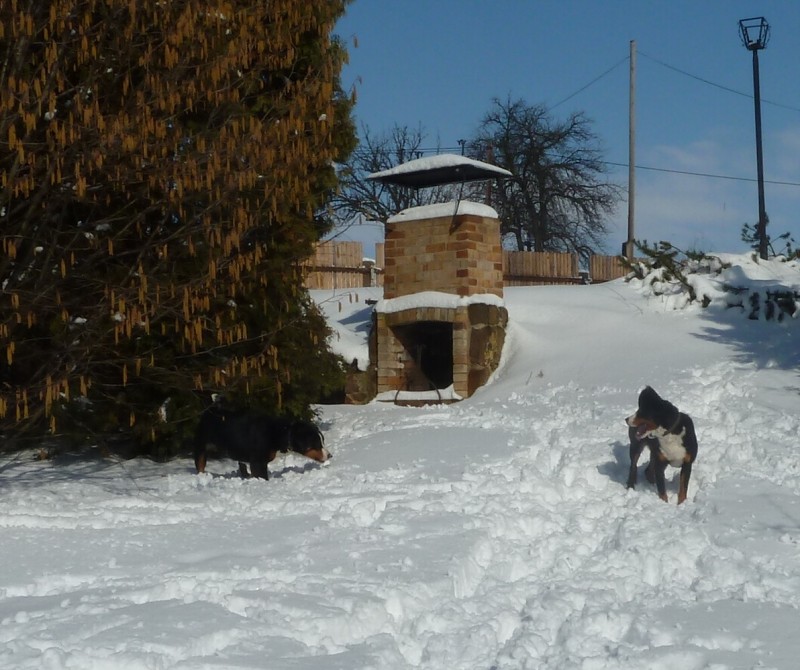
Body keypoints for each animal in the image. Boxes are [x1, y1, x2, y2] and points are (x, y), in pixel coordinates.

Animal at [194, 406, 332, 480]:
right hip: (201, 447)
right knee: (200, 465)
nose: (330, 455)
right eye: (317, 444)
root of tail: (209, 410)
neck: (280, 433)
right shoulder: (258, 462)